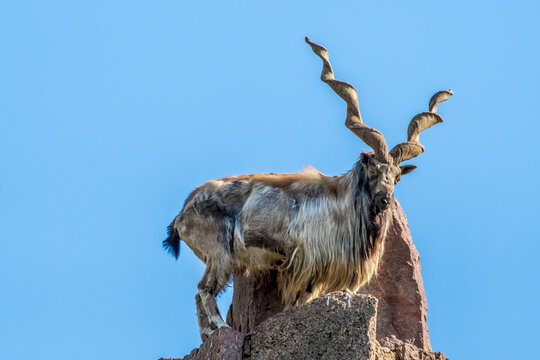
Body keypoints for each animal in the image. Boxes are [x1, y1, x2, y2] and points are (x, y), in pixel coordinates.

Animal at [163, 38, 452, 338]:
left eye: (397, 177)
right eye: (373, 169)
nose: (385, 201)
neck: (343, 202)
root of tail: (182, 215)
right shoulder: (306, 262)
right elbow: (298, 298)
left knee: (199, 294)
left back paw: (208, 334)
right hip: (219, 252)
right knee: (204, 289)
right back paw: (221, 328)